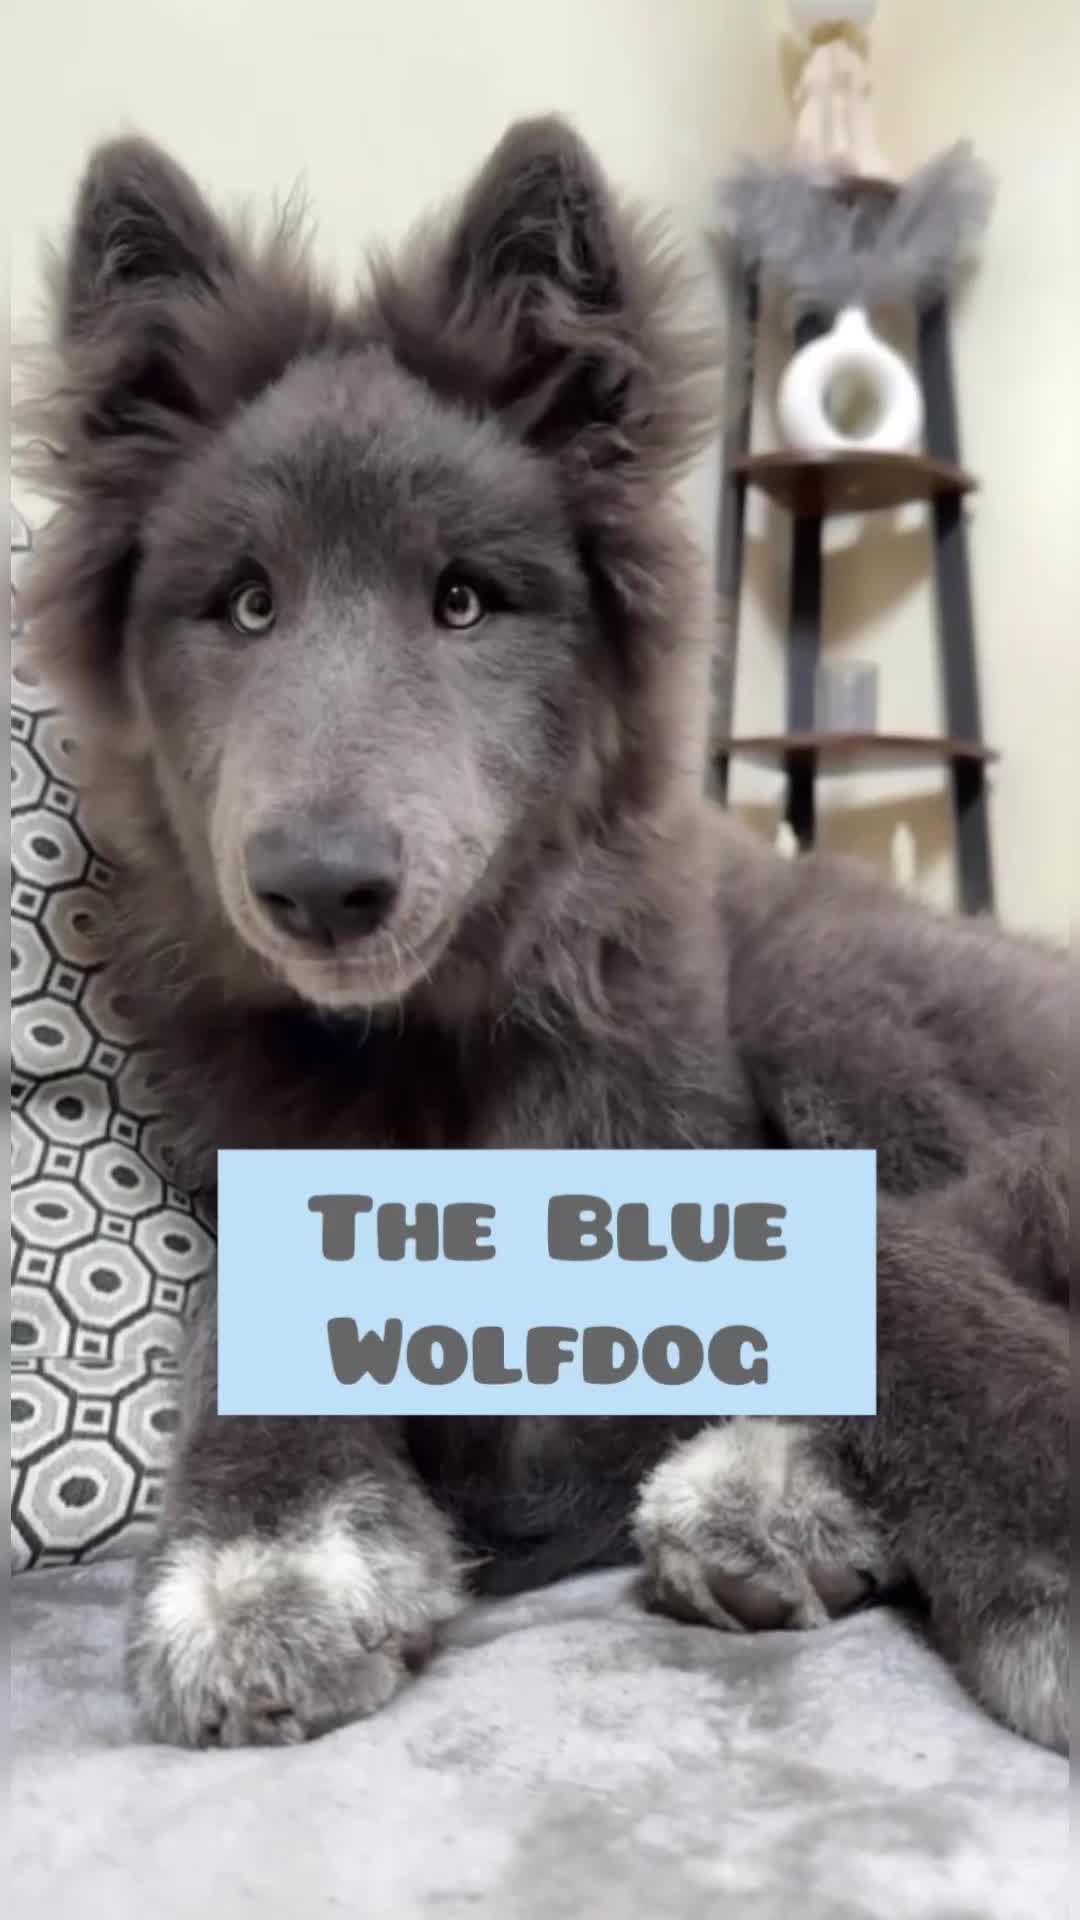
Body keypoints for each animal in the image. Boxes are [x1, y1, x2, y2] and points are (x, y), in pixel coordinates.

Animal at [20, 117, 1067, 1752]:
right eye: (244, 606)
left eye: (465, 601)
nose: (321, 886)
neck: (440, 1047)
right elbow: (234, 1312)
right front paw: (266, 1556)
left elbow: (897, 1267)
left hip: (826, 991)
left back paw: (766, 1485)